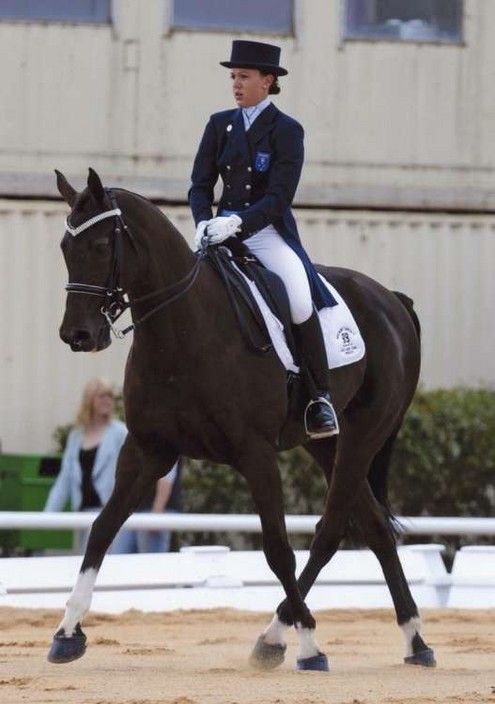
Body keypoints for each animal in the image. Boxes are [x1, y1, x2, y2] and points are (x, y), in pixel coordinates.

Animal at [48, 169, 436, 672]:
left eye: (98, 246)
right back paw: (414, 640)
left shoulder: (256, 454)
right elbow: (102, 529)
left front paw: (310, 646)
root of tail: (392, 299)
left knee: (330, 530)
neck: (184, 328)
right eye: (65, 247)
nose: (76, 335)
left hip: (364, 434)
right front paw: (67, 631)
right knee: (374, 528)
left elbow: (278, 550)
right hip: (325, 442)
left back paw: (280, 636)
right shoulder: (148, 450)